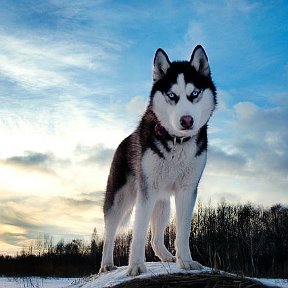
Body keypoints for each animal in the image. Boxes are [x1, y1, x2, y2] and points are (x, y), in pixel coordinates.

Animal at [100, 46, 216, 276]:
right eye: (172, 95)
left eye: (194, 94)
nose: (186, 120)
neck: (176, 142)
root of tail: (123, 142)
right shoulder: (146, 191)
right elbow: (138, 233)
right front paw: (136, 265)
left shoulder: (187, 190)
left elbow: (183, 232)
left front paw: (186, 261)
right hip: (120, 199)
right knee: (109, 233)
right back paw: (106, 264)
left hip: (162, 204)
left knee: (155, 238)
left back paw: (166, 256)